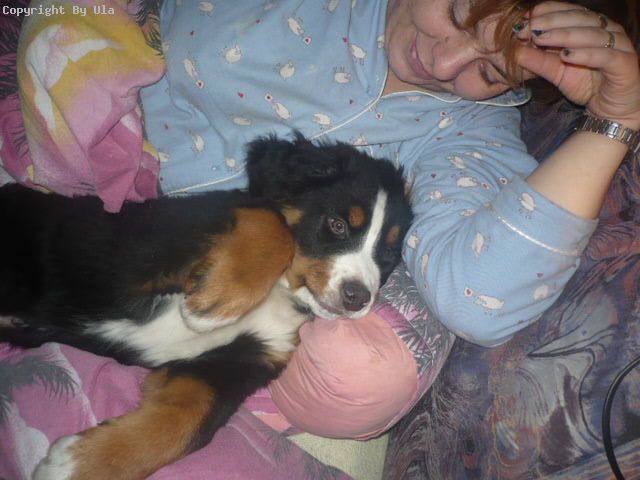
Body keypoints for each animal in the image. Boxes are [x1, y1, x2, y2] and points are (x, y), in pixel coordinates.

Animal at [0, 134, 413, 480]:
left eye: (389, 254)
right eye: (337, 224)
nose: (358, 296)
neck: (280, 293)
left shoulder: (229, 365)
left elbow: (187, 422)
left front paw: (76, 464)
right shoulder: (160, 236)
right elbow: (274, 223)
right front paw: (215, 305)